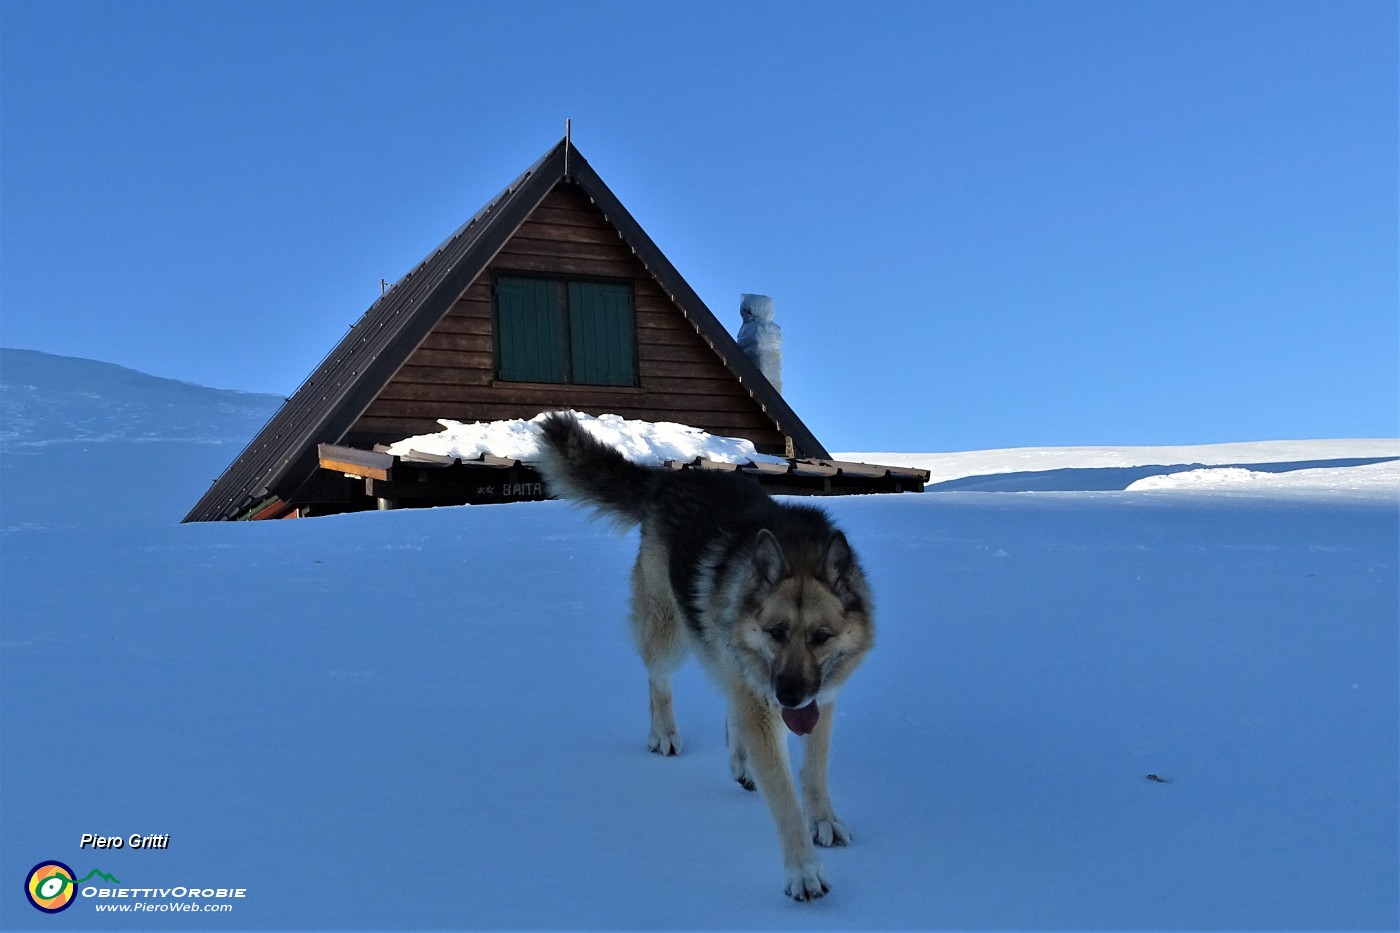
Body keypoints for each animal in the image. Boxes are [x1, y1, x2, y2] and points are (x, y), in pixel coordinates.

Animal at [534, 411, 873, 896]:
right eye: (776, 632)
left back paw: (740, 759)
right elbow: (783, 796)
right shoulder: (764, 697)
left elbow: (814, 771)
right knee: (658, 682)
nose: (788, 696)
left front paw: (823, 819)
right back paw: (665, 734)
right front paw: (803, 869)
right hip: (669, 632)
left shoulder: (819, 700)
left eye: (822, 637)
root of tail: (671, 480)